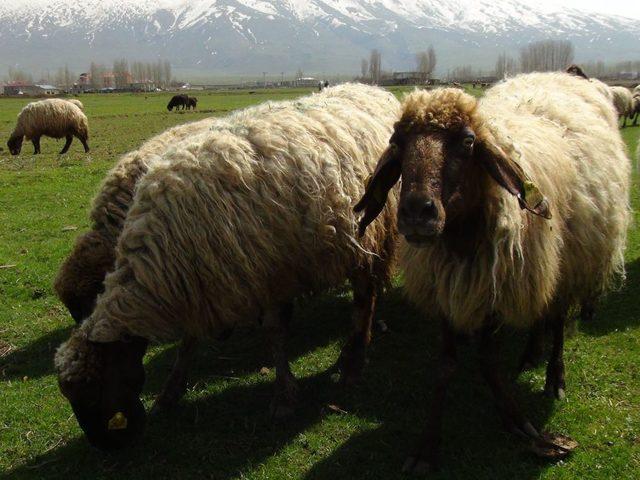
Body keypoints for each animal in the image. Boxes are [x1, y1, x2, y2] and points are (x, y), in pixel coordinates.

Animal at [57, 85, 402, 450]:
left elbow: (274, 335)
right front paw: (170, 393)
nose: (107, 447)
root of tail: (373, 89)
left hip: (368, 234)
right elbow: (188, 343)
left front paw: (283, 397)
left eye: (93, 392)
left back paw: (353, 361)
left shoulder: (265, 275)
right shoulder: (201, 283)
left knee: (364, 300)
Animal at [356, 72, 632, 472]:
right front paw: (427, 446)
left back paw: (554, 375)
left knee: (557, 319)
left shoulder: (493, 288)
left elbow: (488, 360)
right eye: (397, 142)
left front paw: (521, 423)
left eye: (468, 141)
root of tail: (556, 75)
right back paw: (532, 352)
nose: (417, 212)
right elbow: (446, 366)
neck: (460, 238)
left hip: (569, 263)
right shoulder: (449, 287)